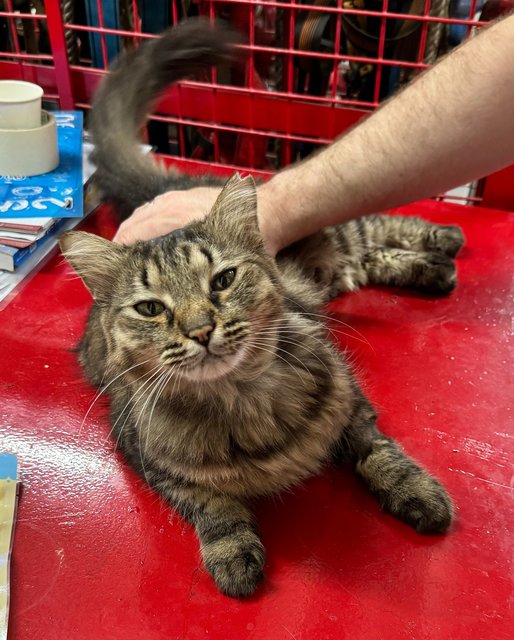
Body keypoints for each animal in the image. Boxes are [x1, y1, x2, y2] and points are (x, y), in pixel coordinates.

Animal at [60, 20, 460, 600]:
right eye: (152, 309)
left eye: (223, 281)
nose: (201, 330)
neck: (240, 403)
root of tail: (170, 185)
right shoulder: (145, 455)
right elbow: (211, 503)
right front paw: (233, 556)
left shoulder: (350, 399)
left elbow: (378, 452)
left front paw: (419, 494)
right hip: (337, 266)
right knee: (373, 256)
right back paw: (435, 267)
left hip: (341, 237)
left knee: (387, 224)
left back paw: (447, 239)